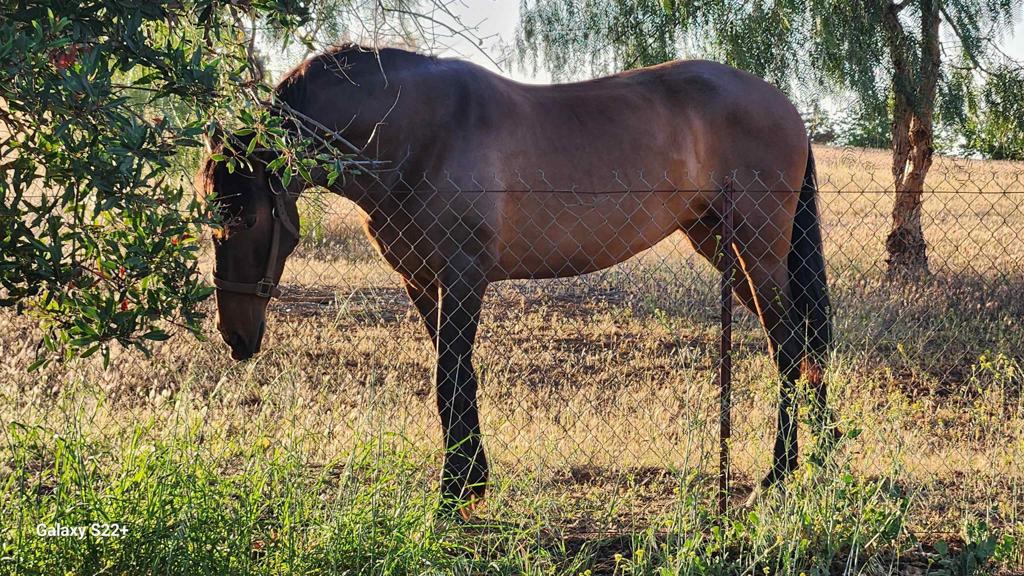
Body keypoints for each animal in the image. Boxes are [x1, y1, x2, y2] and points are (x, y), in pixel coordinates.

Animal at [197, 44, 833, 518]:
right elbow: (461, 382)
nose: (236, 338)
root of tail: (786, 107)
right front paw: (472, 484)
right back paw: (818, 464)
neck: (412, 131)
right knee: (803, 348)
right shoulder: (423, 282)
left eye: (246, 218)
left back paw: (779, 475)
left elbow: (449, 379)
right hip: (724, 248)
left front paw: (451, 497)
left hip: (758, 249)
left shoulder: (462, 278)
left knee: (790, 347)